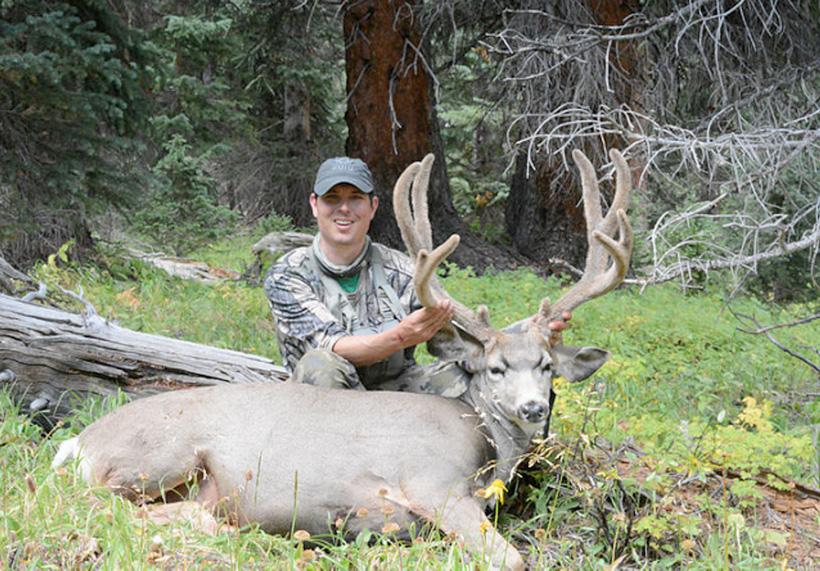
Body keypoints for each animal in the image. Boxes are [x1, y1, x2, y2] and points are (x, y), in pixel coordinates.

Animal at [52, 148, 633, 570]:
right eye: (496, 368)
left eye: (546, 366)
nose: (534, 408)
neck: (482, 438)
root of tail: (76, 443)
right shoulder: (432, 481)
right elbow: (511, 560)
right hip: (156, 455)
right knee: (100, 505)